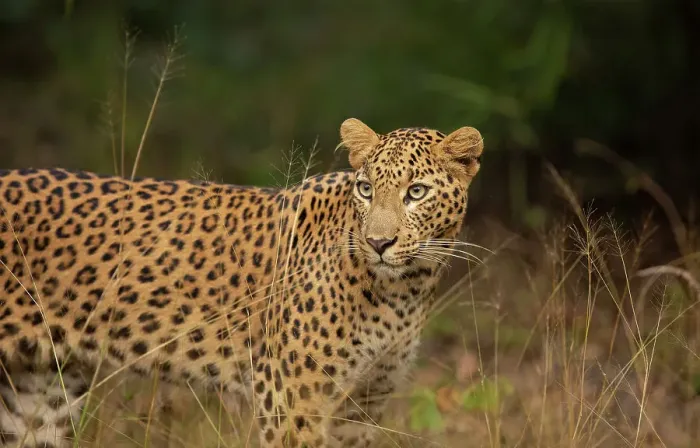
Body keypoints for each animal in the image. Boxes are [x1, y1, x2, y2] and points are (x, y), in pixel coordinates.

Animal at [0, 118, 483, 447]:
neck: (403, 290)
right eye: (366, 189)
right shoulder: (292, 404)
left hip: (40, 390)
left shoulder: (363, 407)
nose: (378, 243)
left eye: (416, 192)